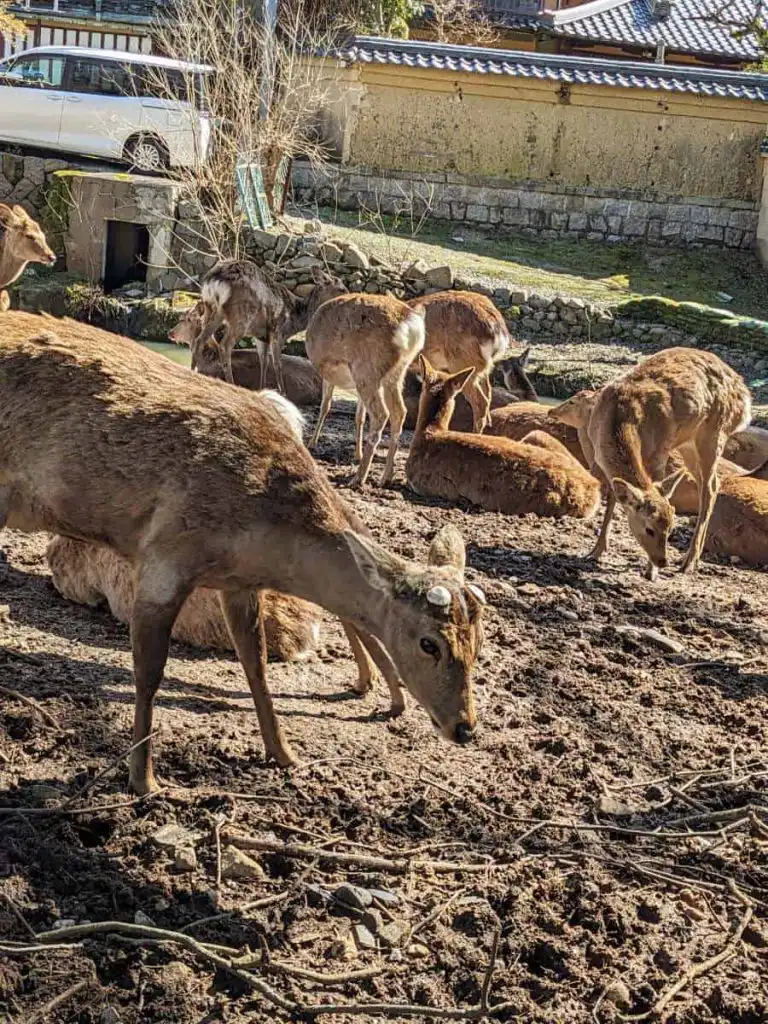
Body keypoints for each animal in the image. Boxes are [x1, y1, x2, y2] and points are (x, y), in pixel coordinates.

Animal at [173, 261, 346, 388]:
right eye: (342, 288)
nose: (348, 296)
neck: (294, 318)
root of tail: (214, 280)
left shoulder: (261, 336)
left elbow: (264, 361)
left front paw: (262, 388)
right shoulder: (277, 331)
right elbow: (277, 364)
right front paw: (282, 393)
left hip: (212, 310)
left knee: (199, 340)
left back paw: (192, 374)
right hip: (241, 315)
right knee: (225, 345)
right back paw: (231, 383)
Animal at [305, 293, 426, 487]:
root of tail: (411, 326)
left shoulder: (328, 376)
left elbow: (325, 406)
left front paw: (311, 443)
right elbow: (359, 417)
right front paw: (357, 453)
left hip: (367, 370)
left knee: (381, 414)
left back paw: (358, 478)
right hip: (395, 374)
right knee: (399, 412)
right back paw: (386, 477)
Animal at [567, 349, 751, 579]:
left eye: (670, 528)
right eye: (649, 529)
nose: (662, 561)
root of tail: (744, 393)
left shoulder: (659, 453)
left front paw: (650, 571)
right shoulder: (600, 459)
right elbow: (612, 499)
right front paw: (595, 551)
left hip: (715, 433)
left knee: (709, 487)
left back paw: (689, 562)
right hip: (688, 443)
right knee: (710, 484)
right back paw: (690, 558)